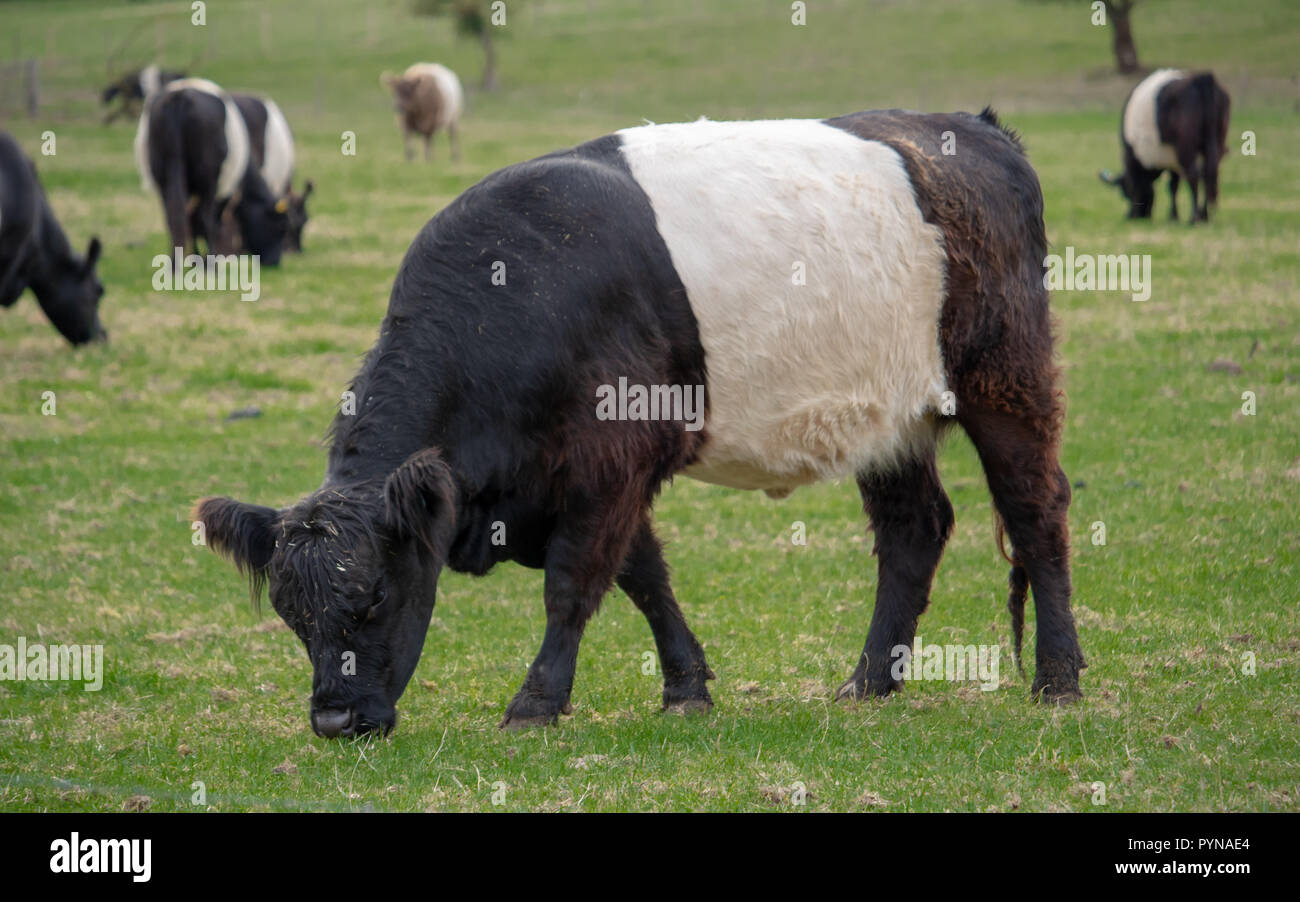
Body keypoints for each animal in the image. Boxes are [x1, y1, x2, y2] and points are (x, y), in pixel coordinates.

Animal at [135, 78, 288, 265]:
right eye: (280, 227)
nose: (275, 262)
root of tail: (181, 96)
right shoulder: (224, 193)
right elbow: (212, 224)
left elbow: (191, 222)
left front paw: (194, 258)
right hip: (208, 180)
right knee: (203, 218)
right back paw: (210, 264)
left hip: (165, 174)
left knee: (174, 217)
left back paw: (176, 262)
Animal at [195, 109, 1086, 738]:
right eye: (292, 615)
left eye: (373, 597)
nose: (333, 720)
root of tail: (978, 131)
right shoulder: (592, 475)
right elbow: (644, 577)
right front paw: (686, 687)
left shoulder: (608, 460)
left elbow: (573, 585)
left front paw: (536, 702)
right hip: (886, 415)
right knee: (913, 531)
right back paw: (868, 681)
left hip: (1006, 382)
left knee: (1036, 512)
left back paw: (1059, 678)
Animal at [1097, 67, 1227, 222]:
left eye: (1125, 193)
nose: (1132, 216)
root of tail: (1201, 79)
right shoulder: (1171, 160)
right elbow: (1173, 186)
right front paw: (1173, 216)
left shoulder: (1131, 156)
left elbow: (1138, 185)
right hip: (1216, 144)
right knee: (1208, 173)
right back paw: (1204, 215)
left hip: (1185, 149)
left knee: (1194, 175)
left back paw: (1194, 217)